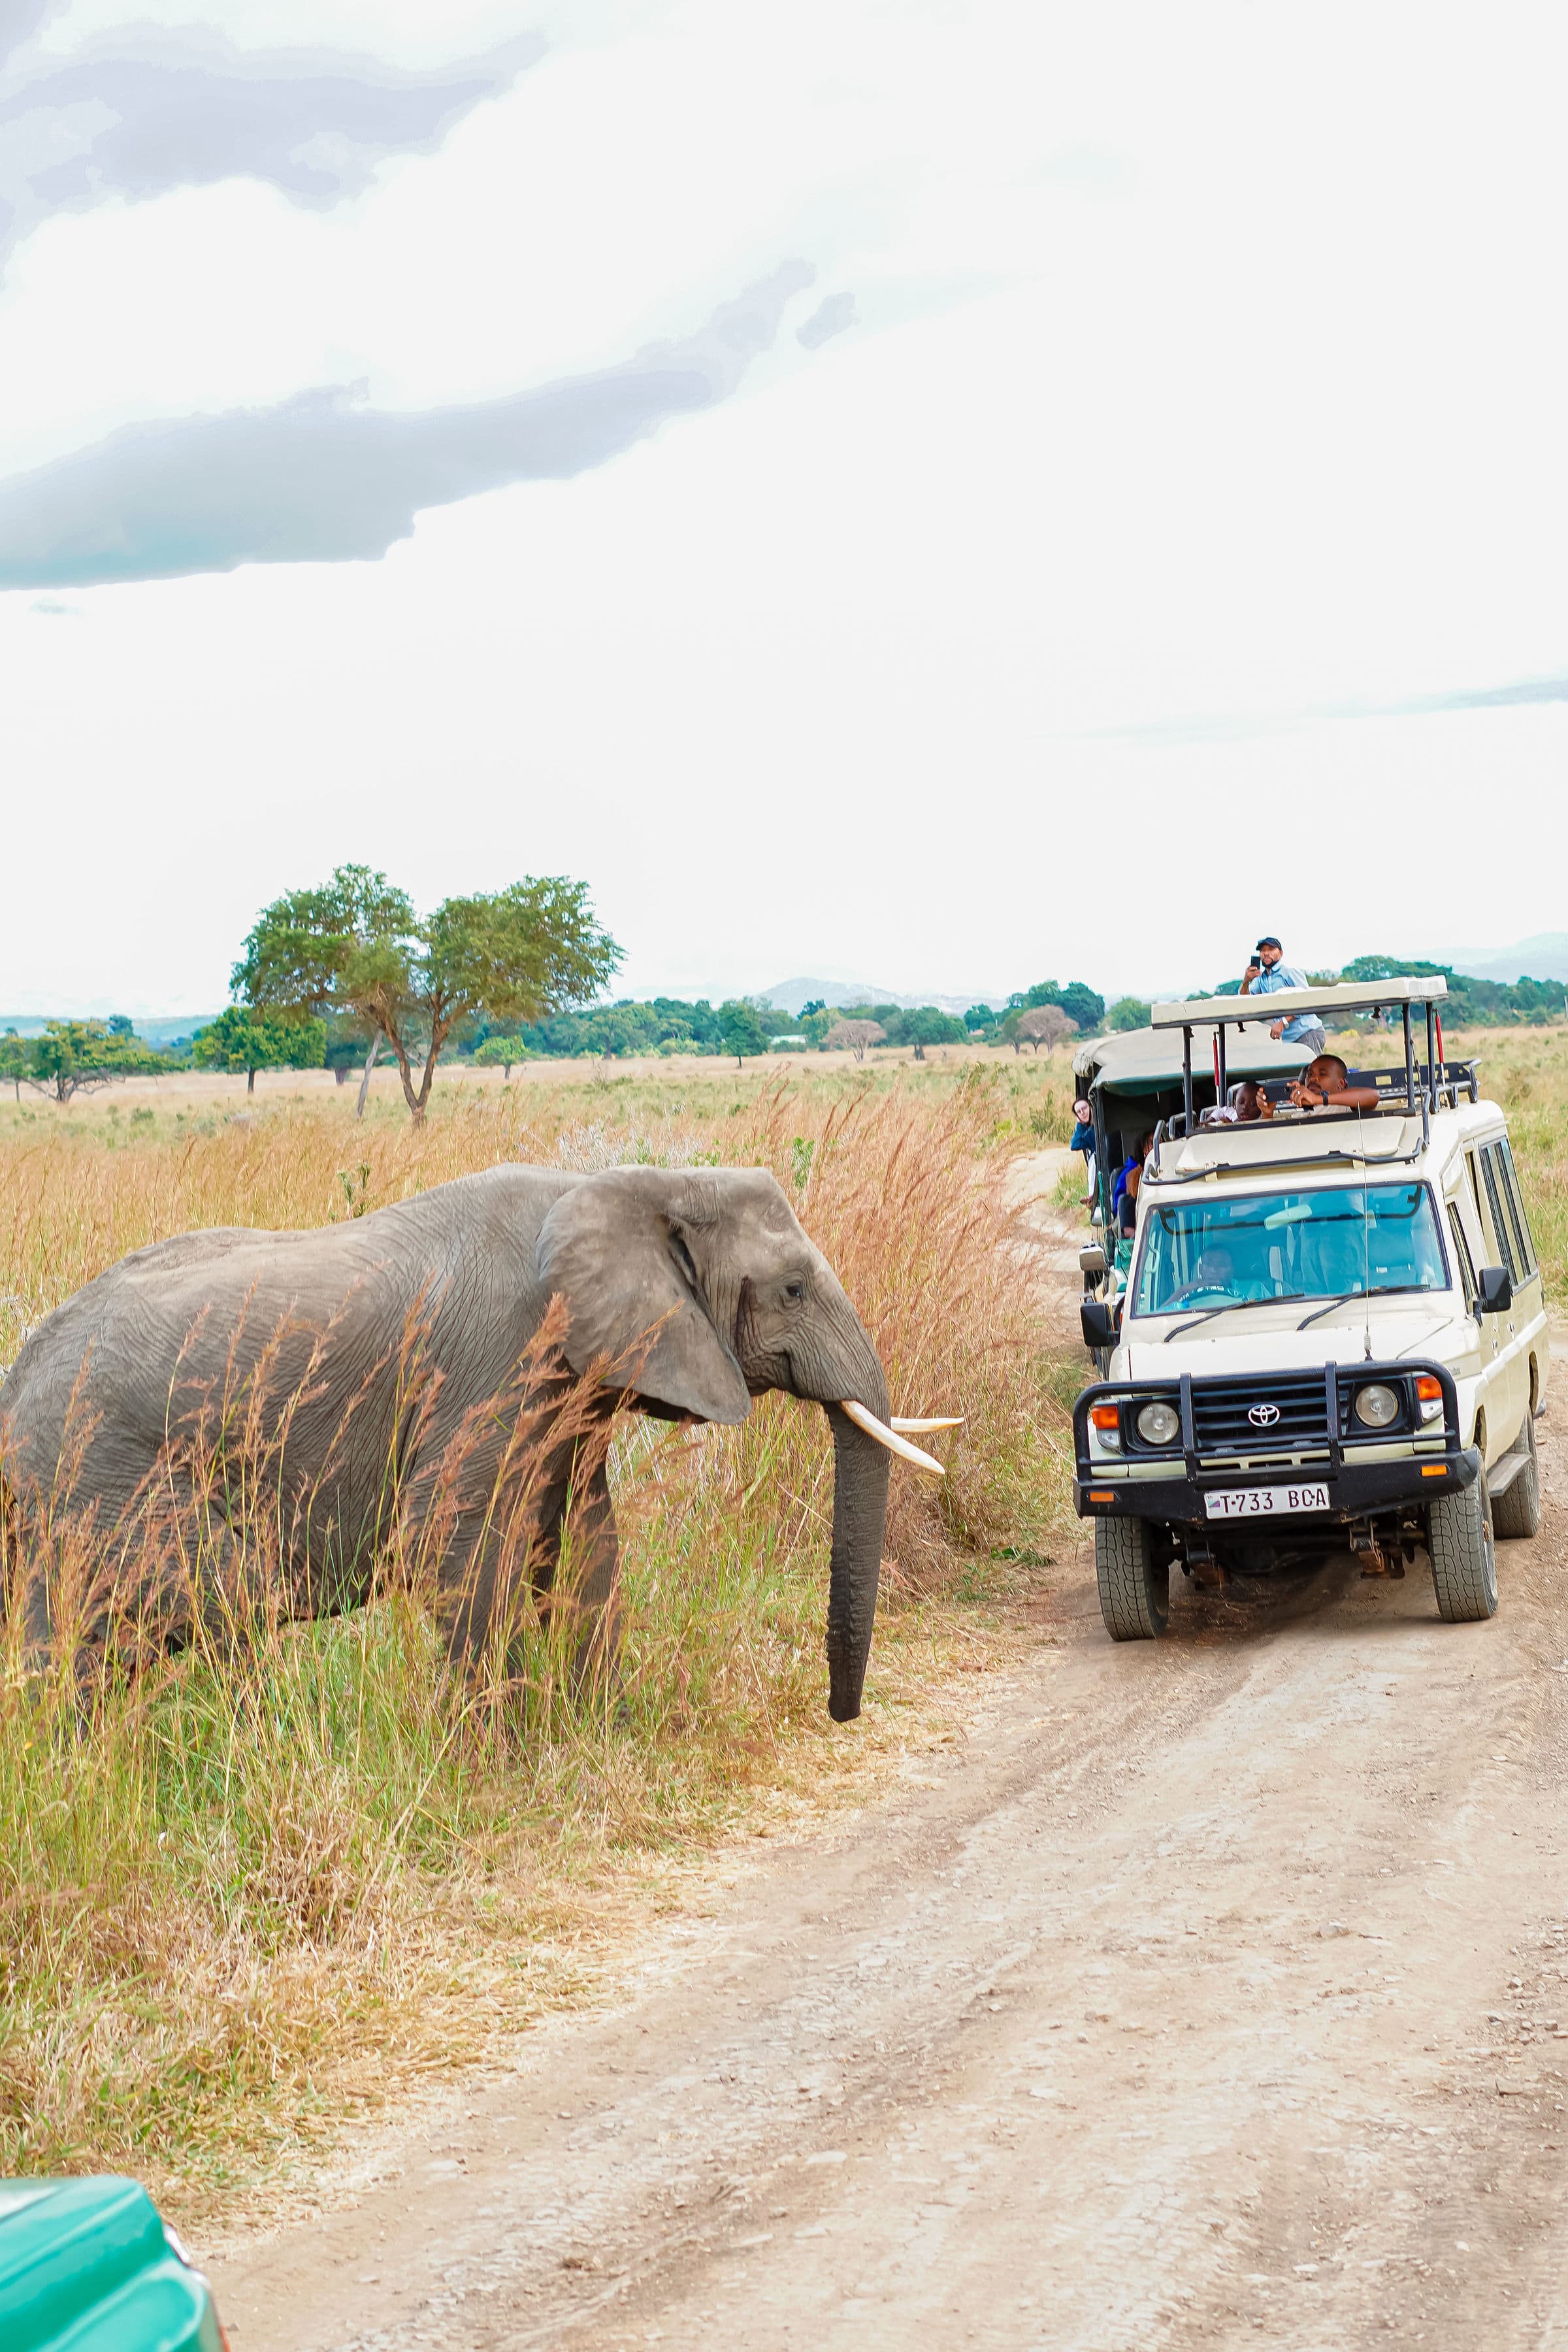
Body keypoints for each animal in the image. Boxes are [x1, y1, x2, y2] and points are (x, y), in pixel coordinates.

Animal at [0, 1164, 950, 1720]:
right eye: (792, 1289)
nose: (840, 1716)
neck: (629, 1182)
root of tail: (17, 1378)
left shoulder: (572, 1388)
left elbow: (582, 1545)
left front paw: (597, 1732)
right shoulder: (498, 1358)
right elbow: (454, 1547)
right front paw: (496, 1759)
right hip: (100, 1479)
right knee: (207, 1605)